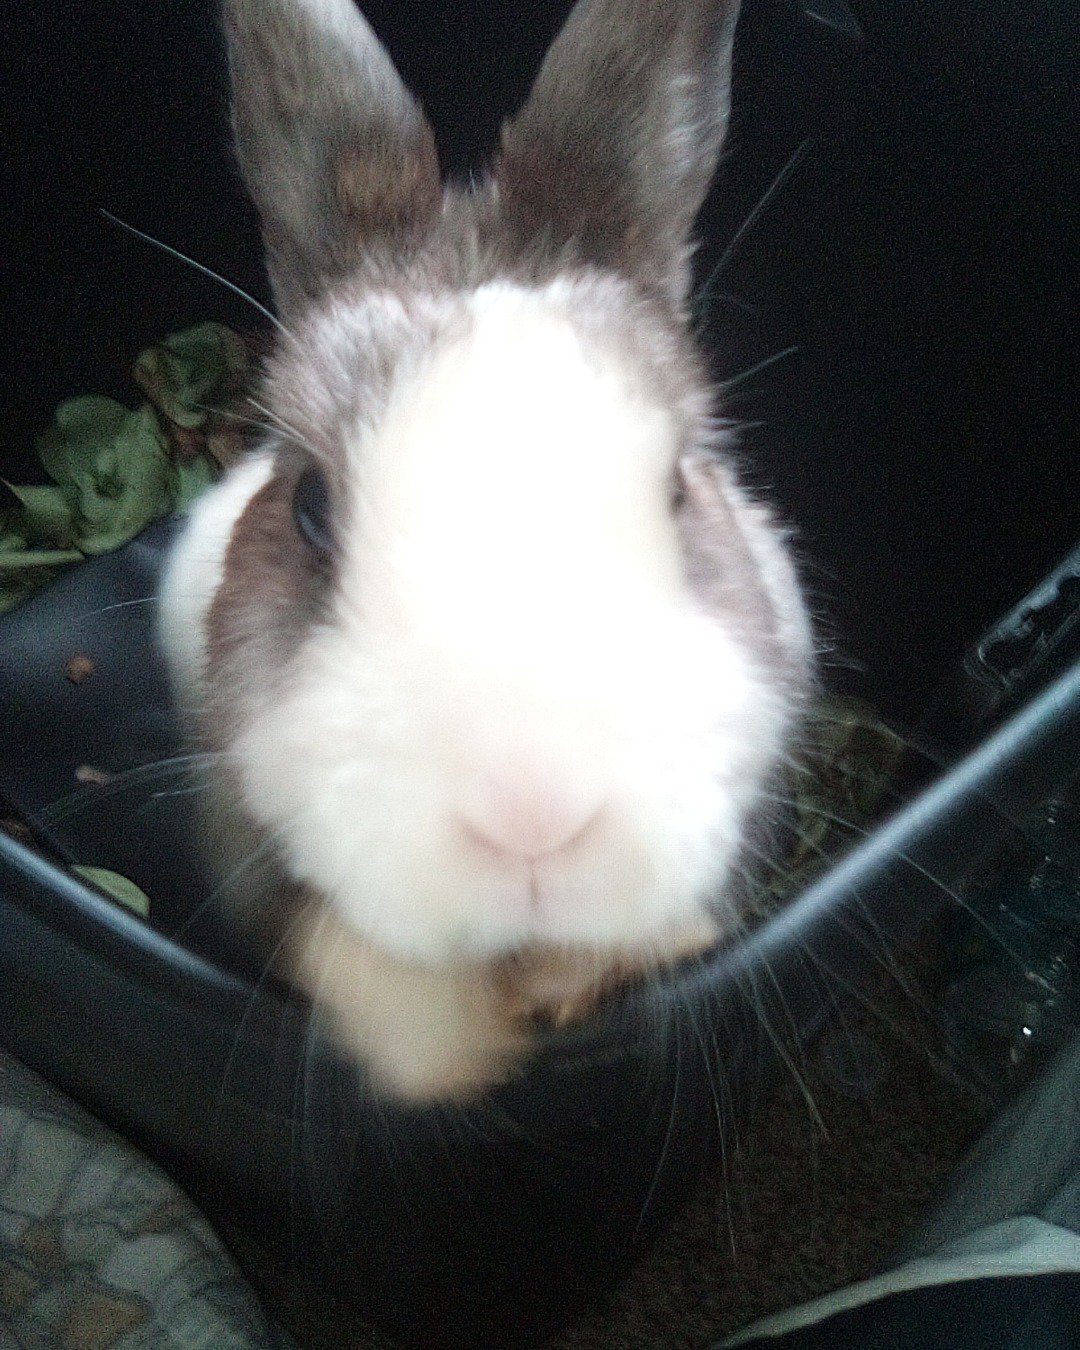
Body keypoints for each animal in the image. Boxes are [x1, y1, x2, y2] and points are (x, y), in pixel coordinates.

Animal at [157, 0, 814, 1102]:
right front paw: (456, 1054)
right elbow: (347, 956)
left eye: (677, 490)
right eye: (311, 507)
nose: (532, 816)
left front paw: (581, 982)